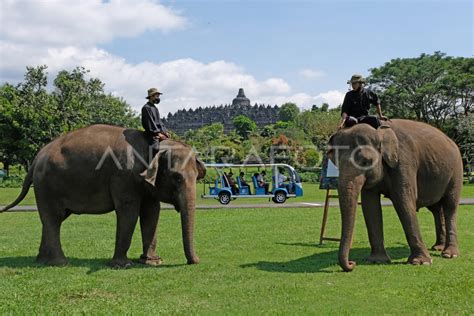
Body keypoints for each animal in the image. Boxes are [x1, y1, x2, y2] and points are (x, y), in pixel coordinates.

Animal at [1, 124, 206, 268]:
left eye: (197, 177)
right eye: (176, 177)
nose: (196, 261)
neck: (153, 146)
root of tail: (37, 157)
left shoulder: (147, 185)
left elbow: (151, 214)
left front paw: (152, 261)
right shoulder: (124, 177)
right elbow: (129, 212)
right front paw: (123, 265)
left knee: (52, 220)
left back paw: (42, 261)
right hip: (47, 186)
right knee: (53, 219)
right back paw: (60, 263)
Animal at [328, 118, 462, 272]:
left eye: (365, 162)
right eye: (336, 164)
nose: (352, 263)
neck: (380, 132)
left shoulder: (404, 160)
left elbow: (403, 201)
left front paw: (421, 262)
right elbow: (370, 206)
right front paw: (377, 261)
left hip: (456, 171)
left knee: (450, 206)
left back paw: (449, 254)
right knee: (436, 209)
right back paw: (438, 247)